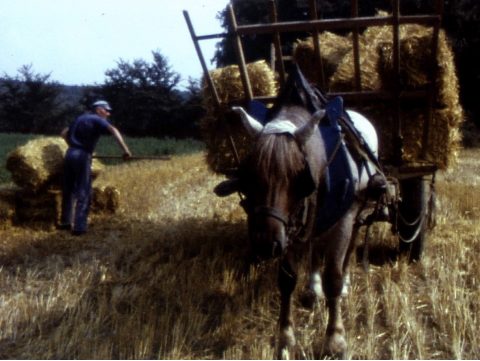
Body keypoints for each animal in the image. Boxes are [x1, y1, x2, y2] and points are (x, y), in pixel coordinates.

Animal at [214, 67, 382, 358]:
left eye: (299, 178)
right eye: (248, 176)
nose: (265, 244)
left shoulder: (339, 220)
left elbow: (333, 276)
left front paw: (334, 338)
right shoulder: (288, 228)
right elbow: (287, 279)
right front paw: (285, 337)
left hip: (357, 208)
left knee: (351, 246)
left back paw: (345, 281)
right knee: (314, 245)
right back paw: (313, 286)